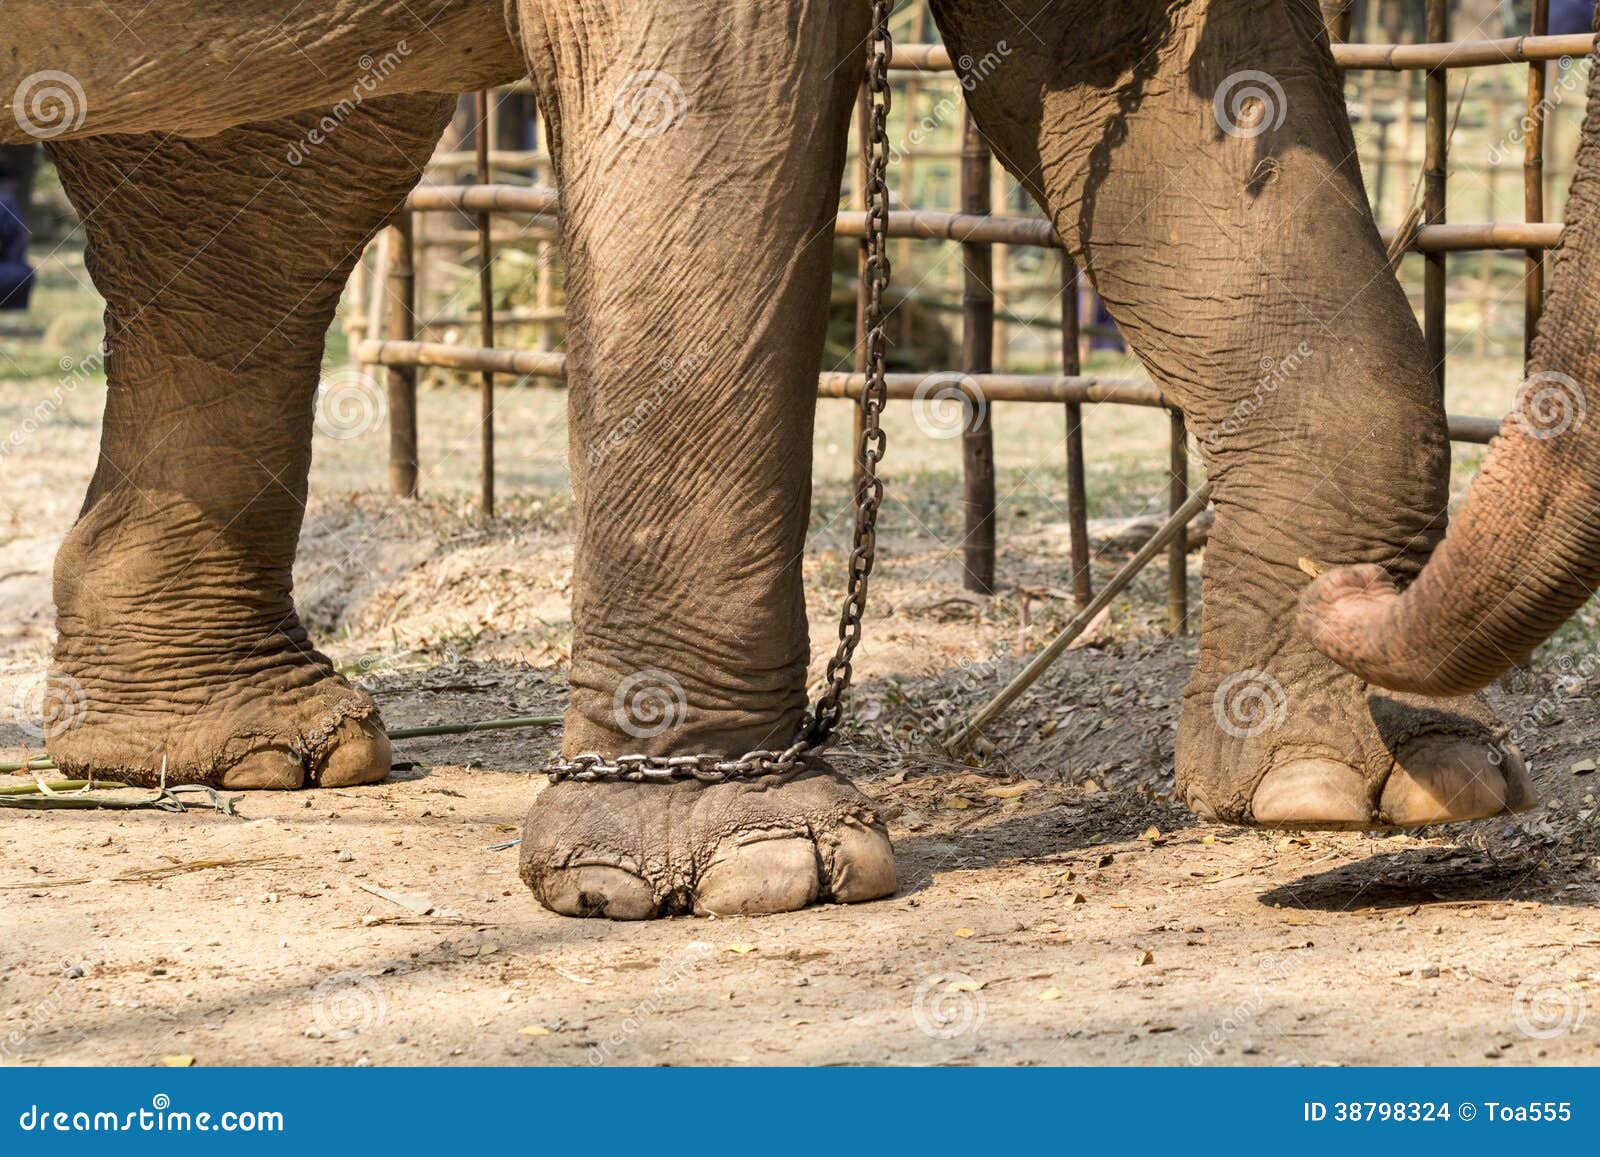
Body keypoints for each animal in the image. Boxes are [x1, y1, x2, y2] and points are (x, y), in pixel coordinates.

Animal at [2, 0, 1552, 921]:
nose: (1347, 590)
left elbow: (1191, 118)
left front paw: (1361, 789)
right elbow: (714, 100)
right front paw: (750, 868)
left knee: (262, 189)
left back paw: (255, 749)